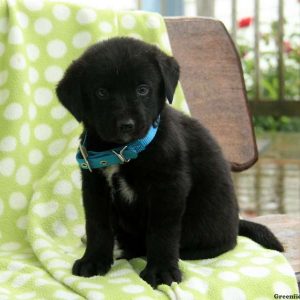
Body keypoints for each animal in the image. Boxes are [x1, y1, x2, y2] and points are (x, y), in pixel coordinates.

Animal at [56, 37, 284, 288]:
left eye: (143, 89)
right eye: (101, 93)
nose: (126, 125)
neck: (123, 151)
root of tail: (236, 223)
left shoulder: (168, 188)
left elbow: (161, 232)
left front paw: (161, 270)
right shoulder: (95, 187)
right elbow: (97, 225)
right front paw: (94, 261)